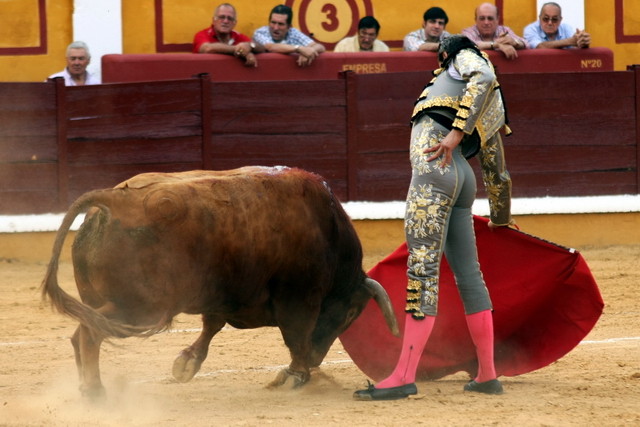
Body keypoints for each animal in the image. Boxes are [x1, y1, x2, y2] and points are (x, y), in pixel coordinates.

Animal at [40, 166, 398, 400]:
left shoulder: (225, 295)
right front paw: (296, 374)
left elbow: (211, 325)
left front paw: (187, 362)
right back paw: (95, 392)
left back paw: (86, 386)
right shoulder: (299, 297)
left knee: (82, 331)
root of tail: (113, 201)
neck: (327, 230)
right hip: (138, 309)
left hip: (108, 302)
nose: (316, 360)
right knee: (91, 332)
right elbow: (297, 334)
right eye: (351, 314)